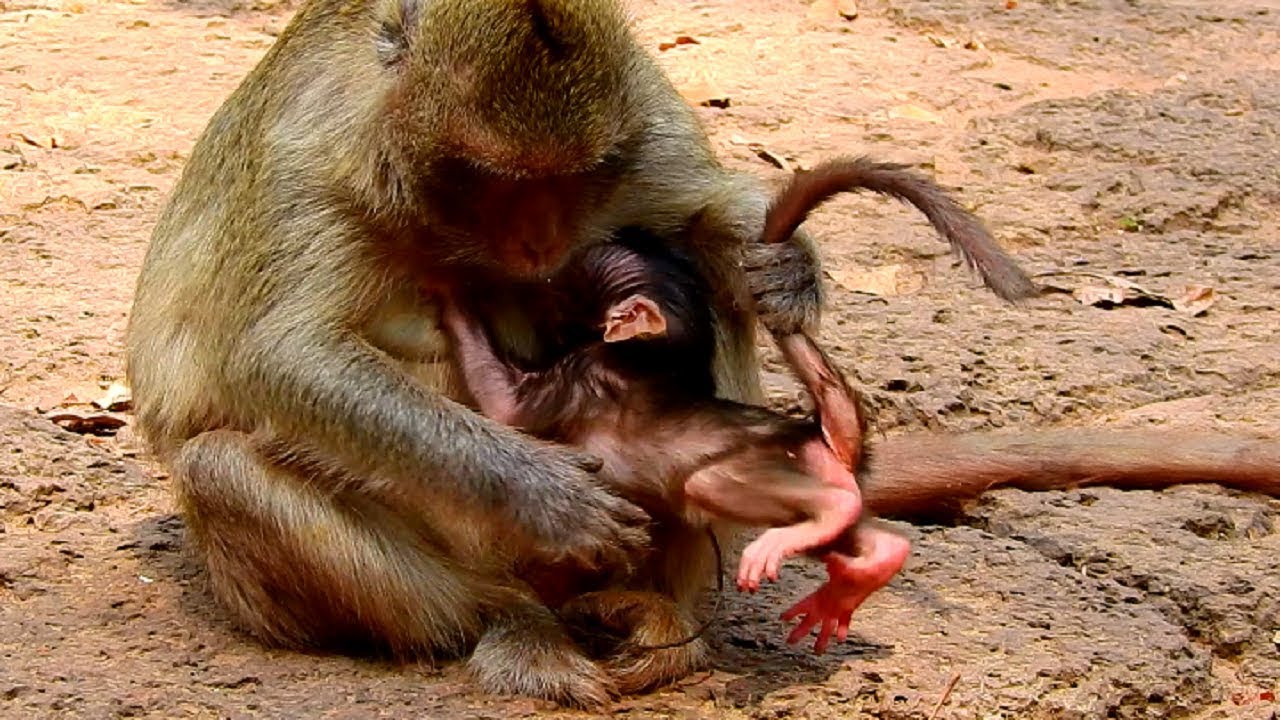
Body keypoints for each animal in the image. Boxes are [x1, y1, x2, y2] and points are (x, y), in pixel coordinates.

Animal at [125, 0, 836, 709]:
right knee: (219, 467)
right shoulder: (307, 157)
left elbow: (706, 213)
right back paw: (511, 616)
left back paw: (655, 607)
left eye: (575, 178)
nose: (541, 241)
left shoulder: (644, 124)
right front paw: (547, 496)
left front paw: (787, 269)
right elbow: (284, 352)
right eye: (492, 181)